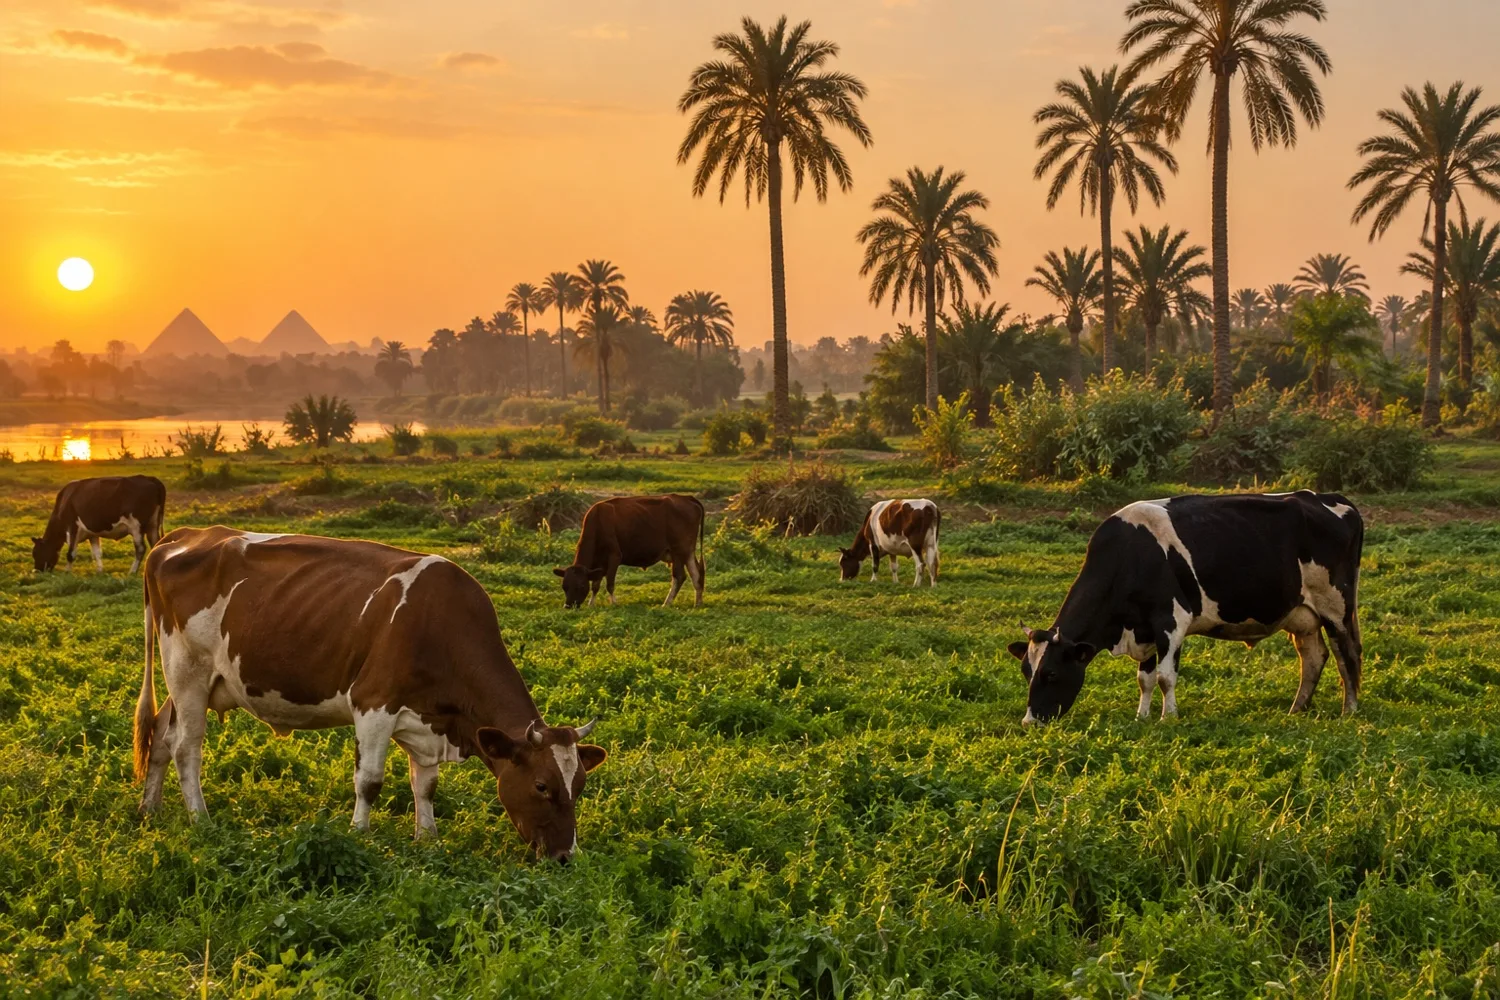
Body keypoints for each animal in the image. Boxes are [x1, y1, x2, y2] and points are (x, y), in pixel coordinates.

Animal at [33, 475, 166, 574]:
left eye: (36, 553)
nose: (37, 571)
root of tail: (148, 478)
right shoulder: (92, 534)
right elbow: (97, 553)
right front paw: (100, 571)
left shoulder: (72, 527)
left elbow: (70, 553)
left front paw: (67, 572)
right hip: (153, 525)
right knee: (156, 544)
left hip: (136, 526)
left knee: (140, 549)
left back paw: (132, 572)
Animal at [135, 526, 606, 862]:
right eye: (542, 785)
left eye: (580, 784)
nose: (566, 857)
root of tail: (182, 536)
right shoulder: (373, 703)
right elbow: (370, 781)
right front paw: (359, 835)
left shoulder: (428, 720)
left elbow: (426, 785)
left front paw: (427, 839)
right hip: (187, 670)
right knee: (187, 747)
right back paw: (200, 819)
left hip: (188, 681)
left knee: (161, 735)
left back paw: (150, 809)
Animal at [554, 494, 705, 609]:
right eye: (564, 586)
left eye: (580, 586)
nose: (568, 606)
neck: (598, 521)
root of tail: (687, 498)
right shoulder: (599, 563)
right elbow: (595, 585)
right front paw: (591, 604)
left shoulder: (614, 556)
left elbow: (610, 584)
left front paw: (614, 604)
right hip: (687, 552)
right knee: (696, 574)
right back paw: (697, 603)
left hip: (678, 550)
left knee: (679, 576)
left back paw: (666, 603)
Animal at [1008, 492, 1364, 724]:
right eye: (1026, 670)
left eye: (1052, 673)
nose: (1029, 722)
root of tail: (1330, 497)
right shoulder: (1144, 627)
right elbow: (1145, 678)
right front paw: (1142, 717)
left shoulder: (1170, 620)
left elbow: (1166, 676)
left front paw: (1169, 718)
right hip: (1302, 614)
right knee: (1314, 657)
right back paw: (1297, 709)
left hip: (1336, 606)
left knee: (1347, 653)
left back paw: (1349, 710)